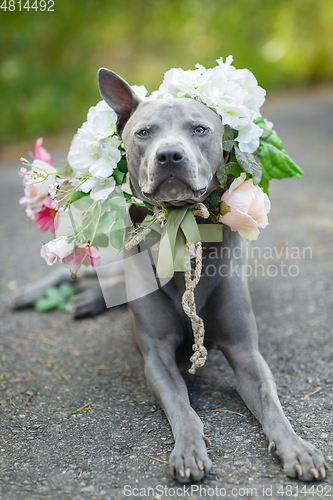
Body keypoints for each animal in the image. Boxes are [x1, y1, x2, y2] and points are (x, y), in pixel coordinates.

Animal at [95, 68, 326, 482]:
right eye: (143, 133)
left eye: (199, 129)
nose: (170, 155)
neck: (182, 225)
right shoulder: (156, 355)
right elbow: (181, 405)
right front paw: (188, 449)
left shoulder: (246, 351)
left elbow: (272, 403)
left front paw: (297, 448)